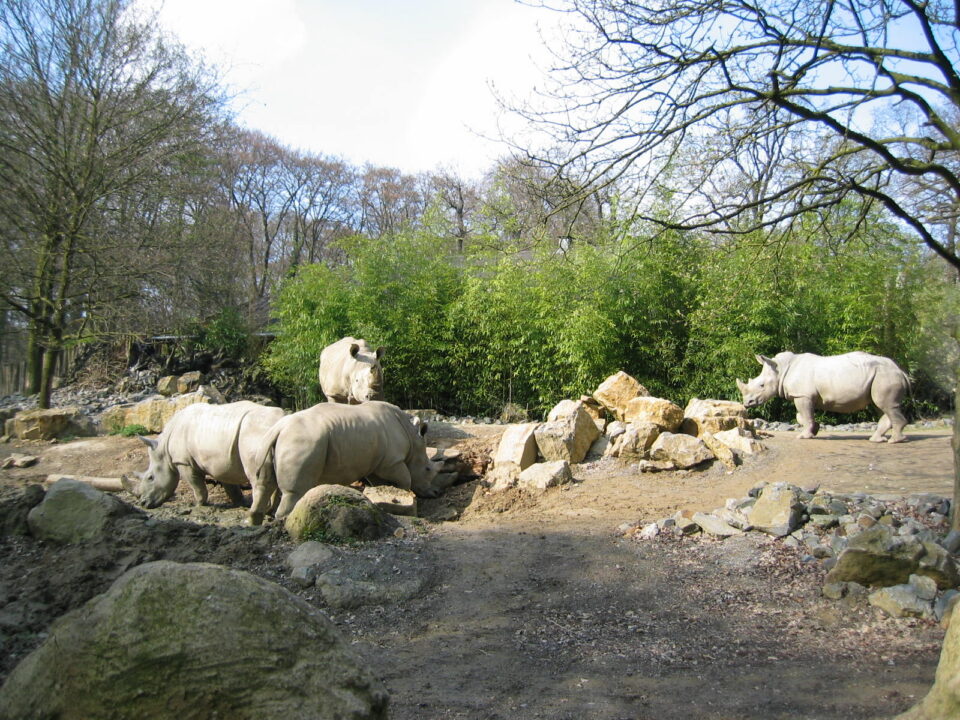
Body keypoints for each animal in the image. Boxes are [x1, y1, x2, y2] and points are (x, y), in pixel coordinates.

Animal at [124, 401, 285, 509]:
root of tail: (280, 420)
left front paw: (198, 504)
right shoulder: (222, 461)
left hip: (255, 432)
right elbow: (229, 483)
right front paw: (240, 502)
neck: (164, 449)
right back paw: (270, 510)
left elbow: (196, 485)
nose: (143, 503)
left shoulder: (183, 461)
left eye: (150, 478)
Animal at [249, 401, 441, 525]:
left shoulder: (378, 464)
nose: (436, 493)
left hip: (273, 442)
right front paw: (404, 497)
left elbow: (379, 482)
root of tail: (279, 428)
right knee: (294, 492)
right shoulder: (392, 462)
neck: (412, 438)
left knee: (263, 485)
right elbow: (405, 480)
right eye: (427, 469)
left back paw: (256, 522)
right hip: (301, 441)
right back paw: (285, 522)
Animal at [736, 351, 910, 442]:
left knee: (886, 405)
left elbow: (805, 415)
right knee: (882, 406)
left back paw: (894, 440)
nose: (747, 403)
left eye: (761, 385)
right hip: (880, 376)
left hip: (885, 375)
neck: (781, 369)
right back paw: (877, 439)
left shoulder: (802, 395)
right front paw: (815, 430)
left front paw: (803, 436)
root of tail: (901, 371)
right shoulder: (805, 395)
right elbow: (802, 416)